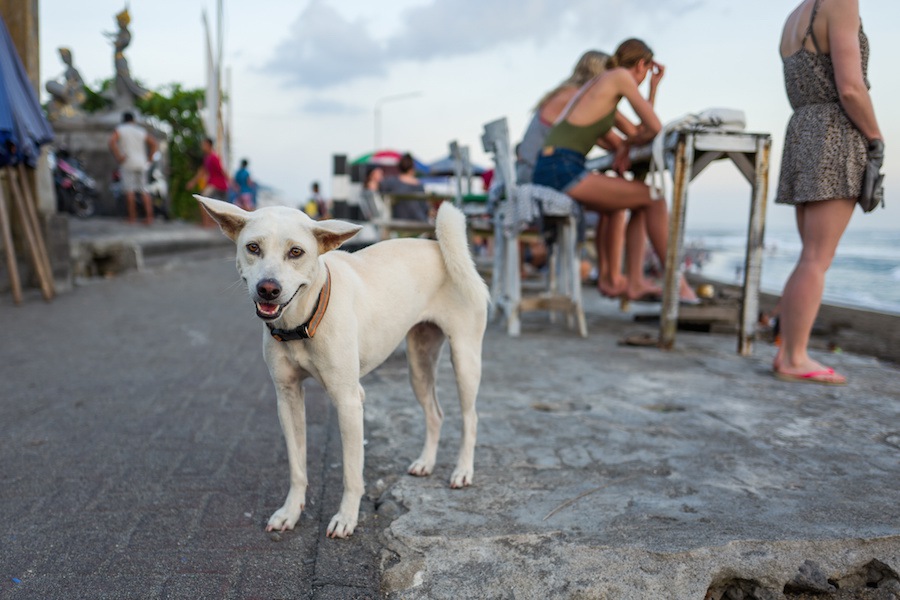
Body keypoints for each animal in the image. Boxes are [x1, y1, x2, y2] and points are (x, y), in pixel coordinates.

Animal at [197, 197, 488, 540]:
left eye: (296, 252)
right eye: (253, 247)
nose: (268, 288)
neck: (302, 321)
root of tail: (439, 247)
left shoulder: (348, 401)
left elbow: (351, 472)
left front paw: (346, 518)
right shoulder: (288, 397)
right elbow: (297, 467)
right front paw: (290, 513)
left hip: (465, 359)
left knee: (471, 417)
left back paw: (463, 471)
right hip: (419, 364)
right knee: (435, 413)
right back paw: (425, 463)